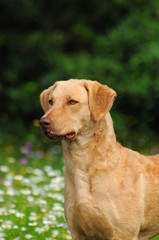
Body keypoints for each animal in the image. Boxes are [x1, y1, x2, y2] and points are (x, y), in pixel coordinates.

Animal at [39, 79, 159, 240]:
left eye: (72, 102)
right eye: (50, 101)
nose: (43, 122)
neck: (83, 164)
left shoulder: (123, 234)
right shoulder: (78, 233)